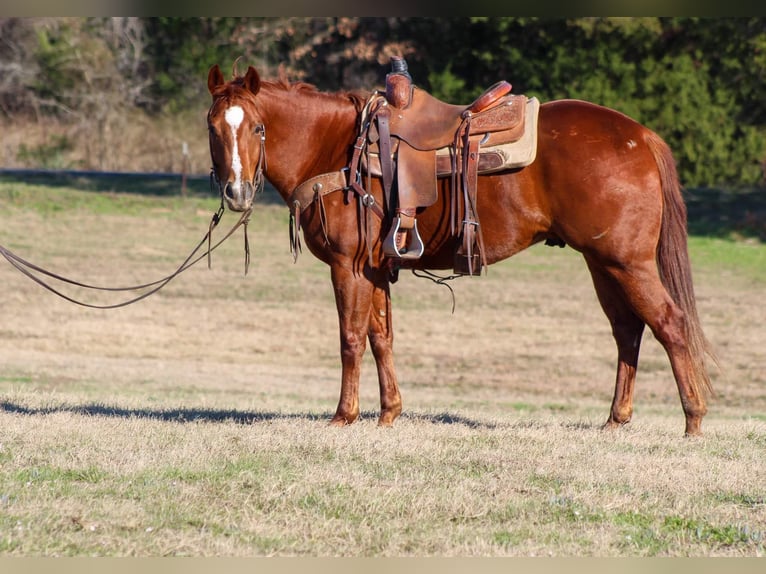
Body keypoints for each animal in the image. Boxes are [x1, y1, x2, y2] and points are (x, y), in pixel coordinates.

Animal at [207, 63, 716, 436]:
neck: (334, 148)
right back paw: (615, 419)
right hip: (602, 263)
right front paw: (389, 412)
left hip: (627, 263)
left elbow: (350, 338)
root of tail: (640, 136)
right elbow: (381, 337)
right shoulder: (373, 269)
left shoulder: (347, 267)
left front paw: (343, 415)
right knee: (628, 330)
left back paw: (692, 419)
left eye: (257, 128)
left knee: (669, 324)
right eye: (213, 129)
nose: (236, 192)